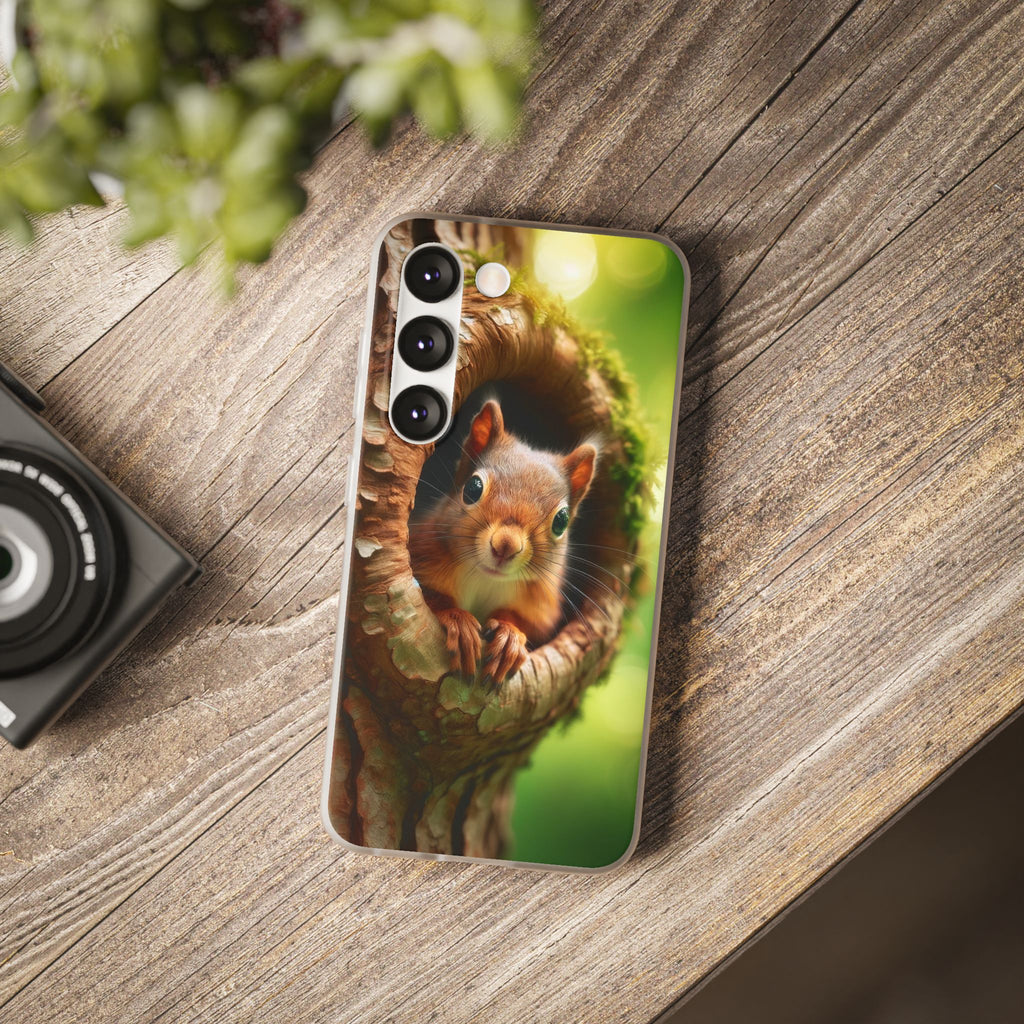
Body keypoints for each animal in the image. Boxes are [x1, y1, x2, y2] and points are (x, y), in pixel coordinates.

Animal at [409, 399, 598, 685]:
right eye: (473, 488)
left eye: (562, 521)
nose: (506, 546)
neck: (486, 579)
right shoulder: (423, 551)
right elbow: (432, 596)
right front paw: (459, 621)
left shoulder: (541, 604)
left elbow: (526, 623)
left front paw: (509, 636)